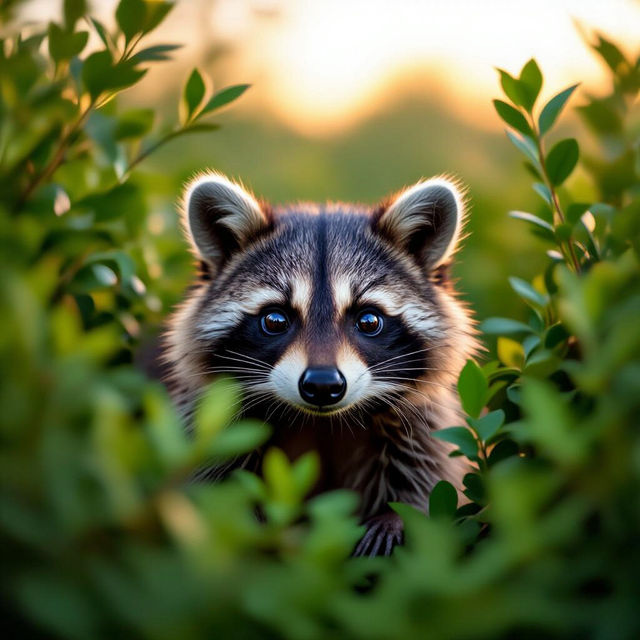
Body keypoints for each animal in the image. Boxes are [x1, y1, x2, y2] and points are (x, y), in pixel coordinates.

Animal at [163, 172, 478, 556]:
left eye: (369, 320)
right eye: (275, 320)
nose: (323, 385)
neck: (321, 421)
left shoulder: (422, 425)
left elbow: (430, 474)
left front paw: (397, 518)